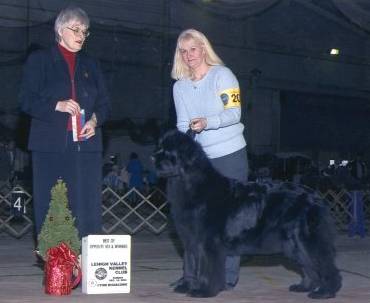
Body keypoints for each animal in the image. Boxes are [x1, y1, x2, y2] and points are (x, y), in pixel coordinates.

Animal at [152, 130, 342, 300]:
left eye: (167, 151)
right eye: (159, 147)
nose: (152, 158)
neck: (189, 183)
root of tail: (315, 196)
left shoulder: (208, 242)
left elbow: (207, 268)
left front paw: (204, 291)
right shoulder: (191, 239)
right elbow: (191, 263)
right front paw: (187, 286)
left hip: (306, 239)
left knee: (324, 265)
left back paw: (325, 292)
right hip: (293, 243)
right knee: (308, 265)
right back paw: (304, 287)